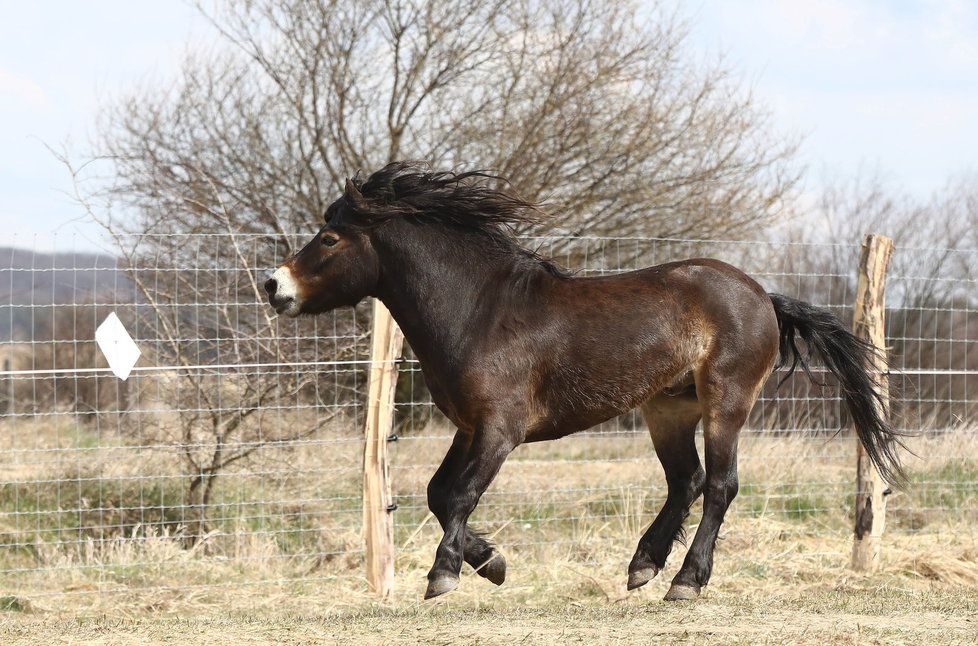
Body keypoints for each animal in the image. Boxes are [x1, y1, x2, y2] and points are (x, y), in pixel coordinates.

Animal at [264, 161, 904, 604]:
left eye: (329, 238)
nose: (274, 286)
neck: (477, 310)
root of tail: (763, 296)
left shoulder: (499, 430)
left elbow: (461, 495)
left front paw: (445, 575)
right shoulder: (469, 427)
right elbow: (439, 493)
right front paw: (491, 563)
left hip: (725, 401)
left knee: (720, 485)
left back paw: (686, 582)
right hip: (667, 410)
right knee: (687, 481)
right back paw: (643, 565)